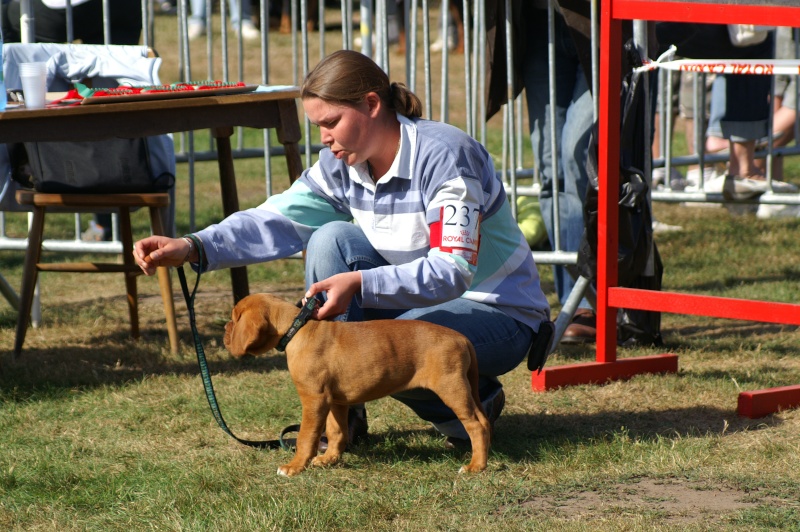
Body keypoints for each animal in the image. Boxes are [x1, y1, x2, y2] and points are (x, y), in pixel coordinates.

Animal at [222, 294, 490, 476]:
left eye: (233, 319)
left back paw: (475, 466)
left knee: (475, 425)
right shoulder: (336, 401)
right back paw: (484, 457)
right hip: (464, 388)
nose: (225, 329)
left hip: (451, 388)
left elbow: (306, 437)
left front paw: (295, 466)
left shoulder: (314, 399)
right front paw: (329, 459)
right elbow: (336, 432)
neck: (297, 330)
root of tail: (460, 337)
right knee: (484, 420)